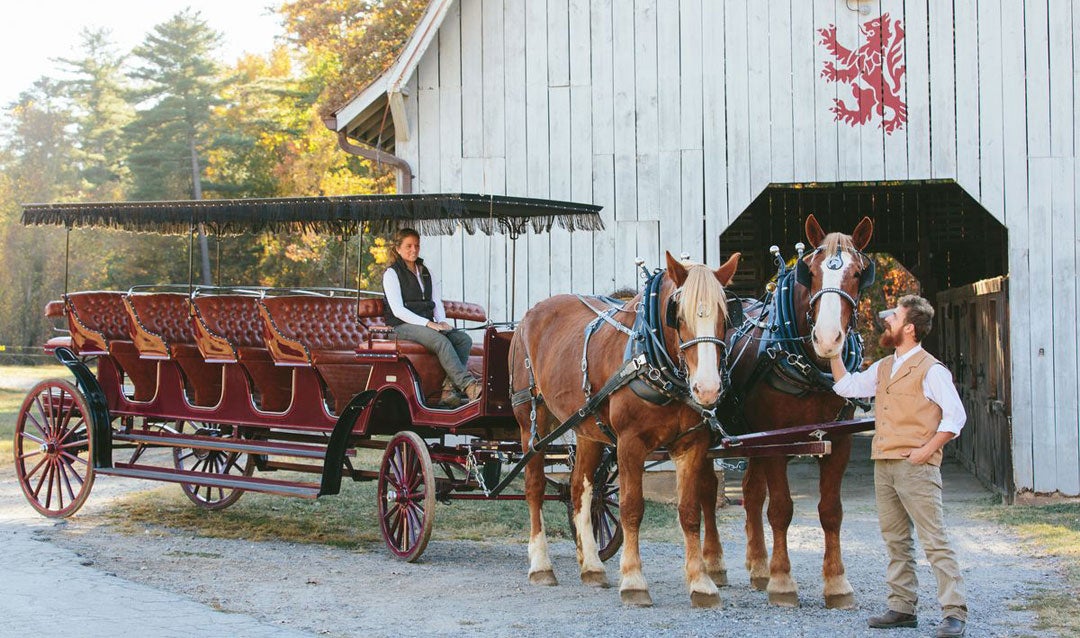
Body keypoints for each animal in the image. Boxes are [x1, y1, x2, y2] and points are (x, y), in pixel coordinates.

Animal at [509, 250, 738, 608]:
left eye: (726, 317)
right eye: (678, 315)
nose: (707, 388)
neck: (652, 360)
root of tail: (532, 314)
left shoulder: (692, 444)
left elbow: (689, 511)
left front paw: (701, 583)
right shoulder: (630, 443)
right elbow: (632, 508)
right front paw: (633, 581)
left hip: (587, 428)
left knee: (581, 490)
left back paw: (591, 566)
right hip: (531, 421)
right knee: (534, 487)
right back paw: (541, 565)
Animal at [725, 214, 876, 608]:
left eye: (859, 273)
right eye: (810, 270)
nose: (827, 338)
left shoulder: (839, 441)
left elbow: (831, 511)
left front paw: (837, 584)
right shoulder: (775, 444)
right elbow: (780, 509)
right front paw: (782, 583)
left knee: (750, 493)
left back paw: (757, 566)